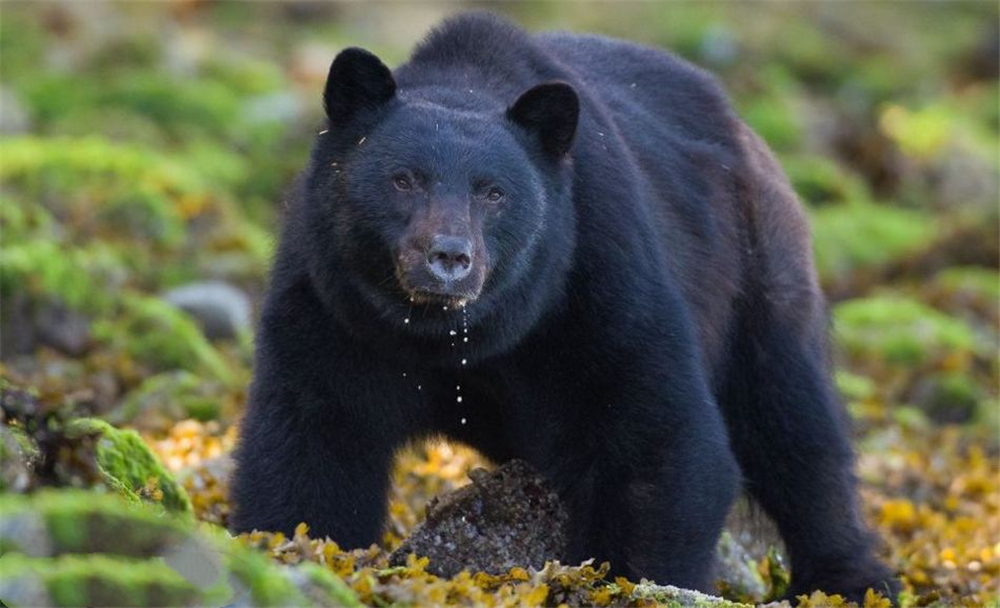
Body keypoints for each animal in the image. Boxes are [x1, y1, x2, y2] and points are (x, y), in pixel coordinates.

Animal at [232, 11, 900, 600]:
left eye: (494, 193)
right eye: (403, 179)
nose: (449, 257)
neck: (454, 336)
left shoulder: (598, 277)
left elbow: (663, 437)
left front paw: (637, 580)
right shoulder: (332, 306)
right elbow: (312, 440)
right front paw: (297, 549)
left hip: (758, 273)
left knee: (793, 420)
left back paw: (852, 578)